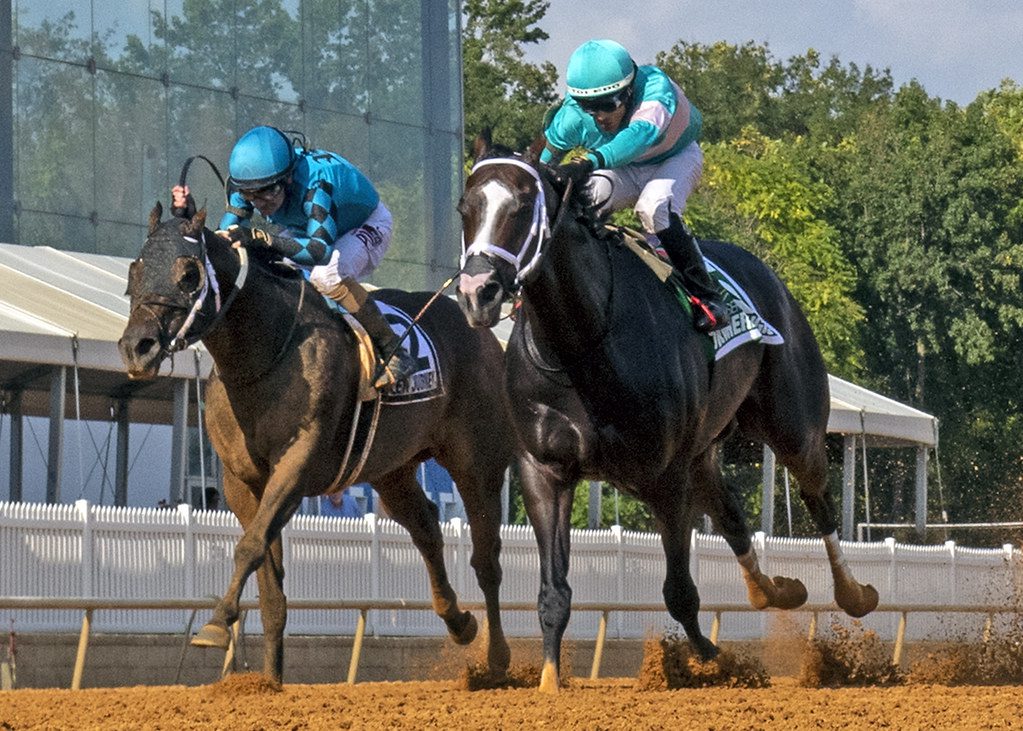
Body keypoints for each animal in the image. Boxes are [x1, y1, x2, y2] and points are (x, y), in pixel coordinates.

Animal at [119, 203, 515, 682]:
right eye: (136, 270)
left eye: (189, 274)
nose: (136, 348)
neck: (264, 355)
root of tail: (479, 329)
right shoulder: (241, 481)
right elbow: (268, 581)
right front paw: (268, 682)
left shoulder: (298, 464)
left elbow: (250, 546)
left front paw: (215, 623)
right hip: (391, 470)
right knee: (426, 528)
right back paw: (459, 622)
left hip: (478, 462)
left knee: (486, 558)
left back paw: (496, 659)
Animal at [458, 135, 879, 691]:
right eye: (466, 208)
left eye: (524, 207)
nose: (477, 292)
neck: (583, 344)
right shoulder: (543, 468)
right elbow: (554, 591)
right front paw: (549, 678)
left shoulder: (666, 474)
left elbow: (679, 591)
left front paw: (715, 661)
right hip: (705, 449)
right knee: (731, 511)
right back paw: (773, 590)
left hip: (793, 424)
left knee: (818, 499)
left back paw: (852, 593)